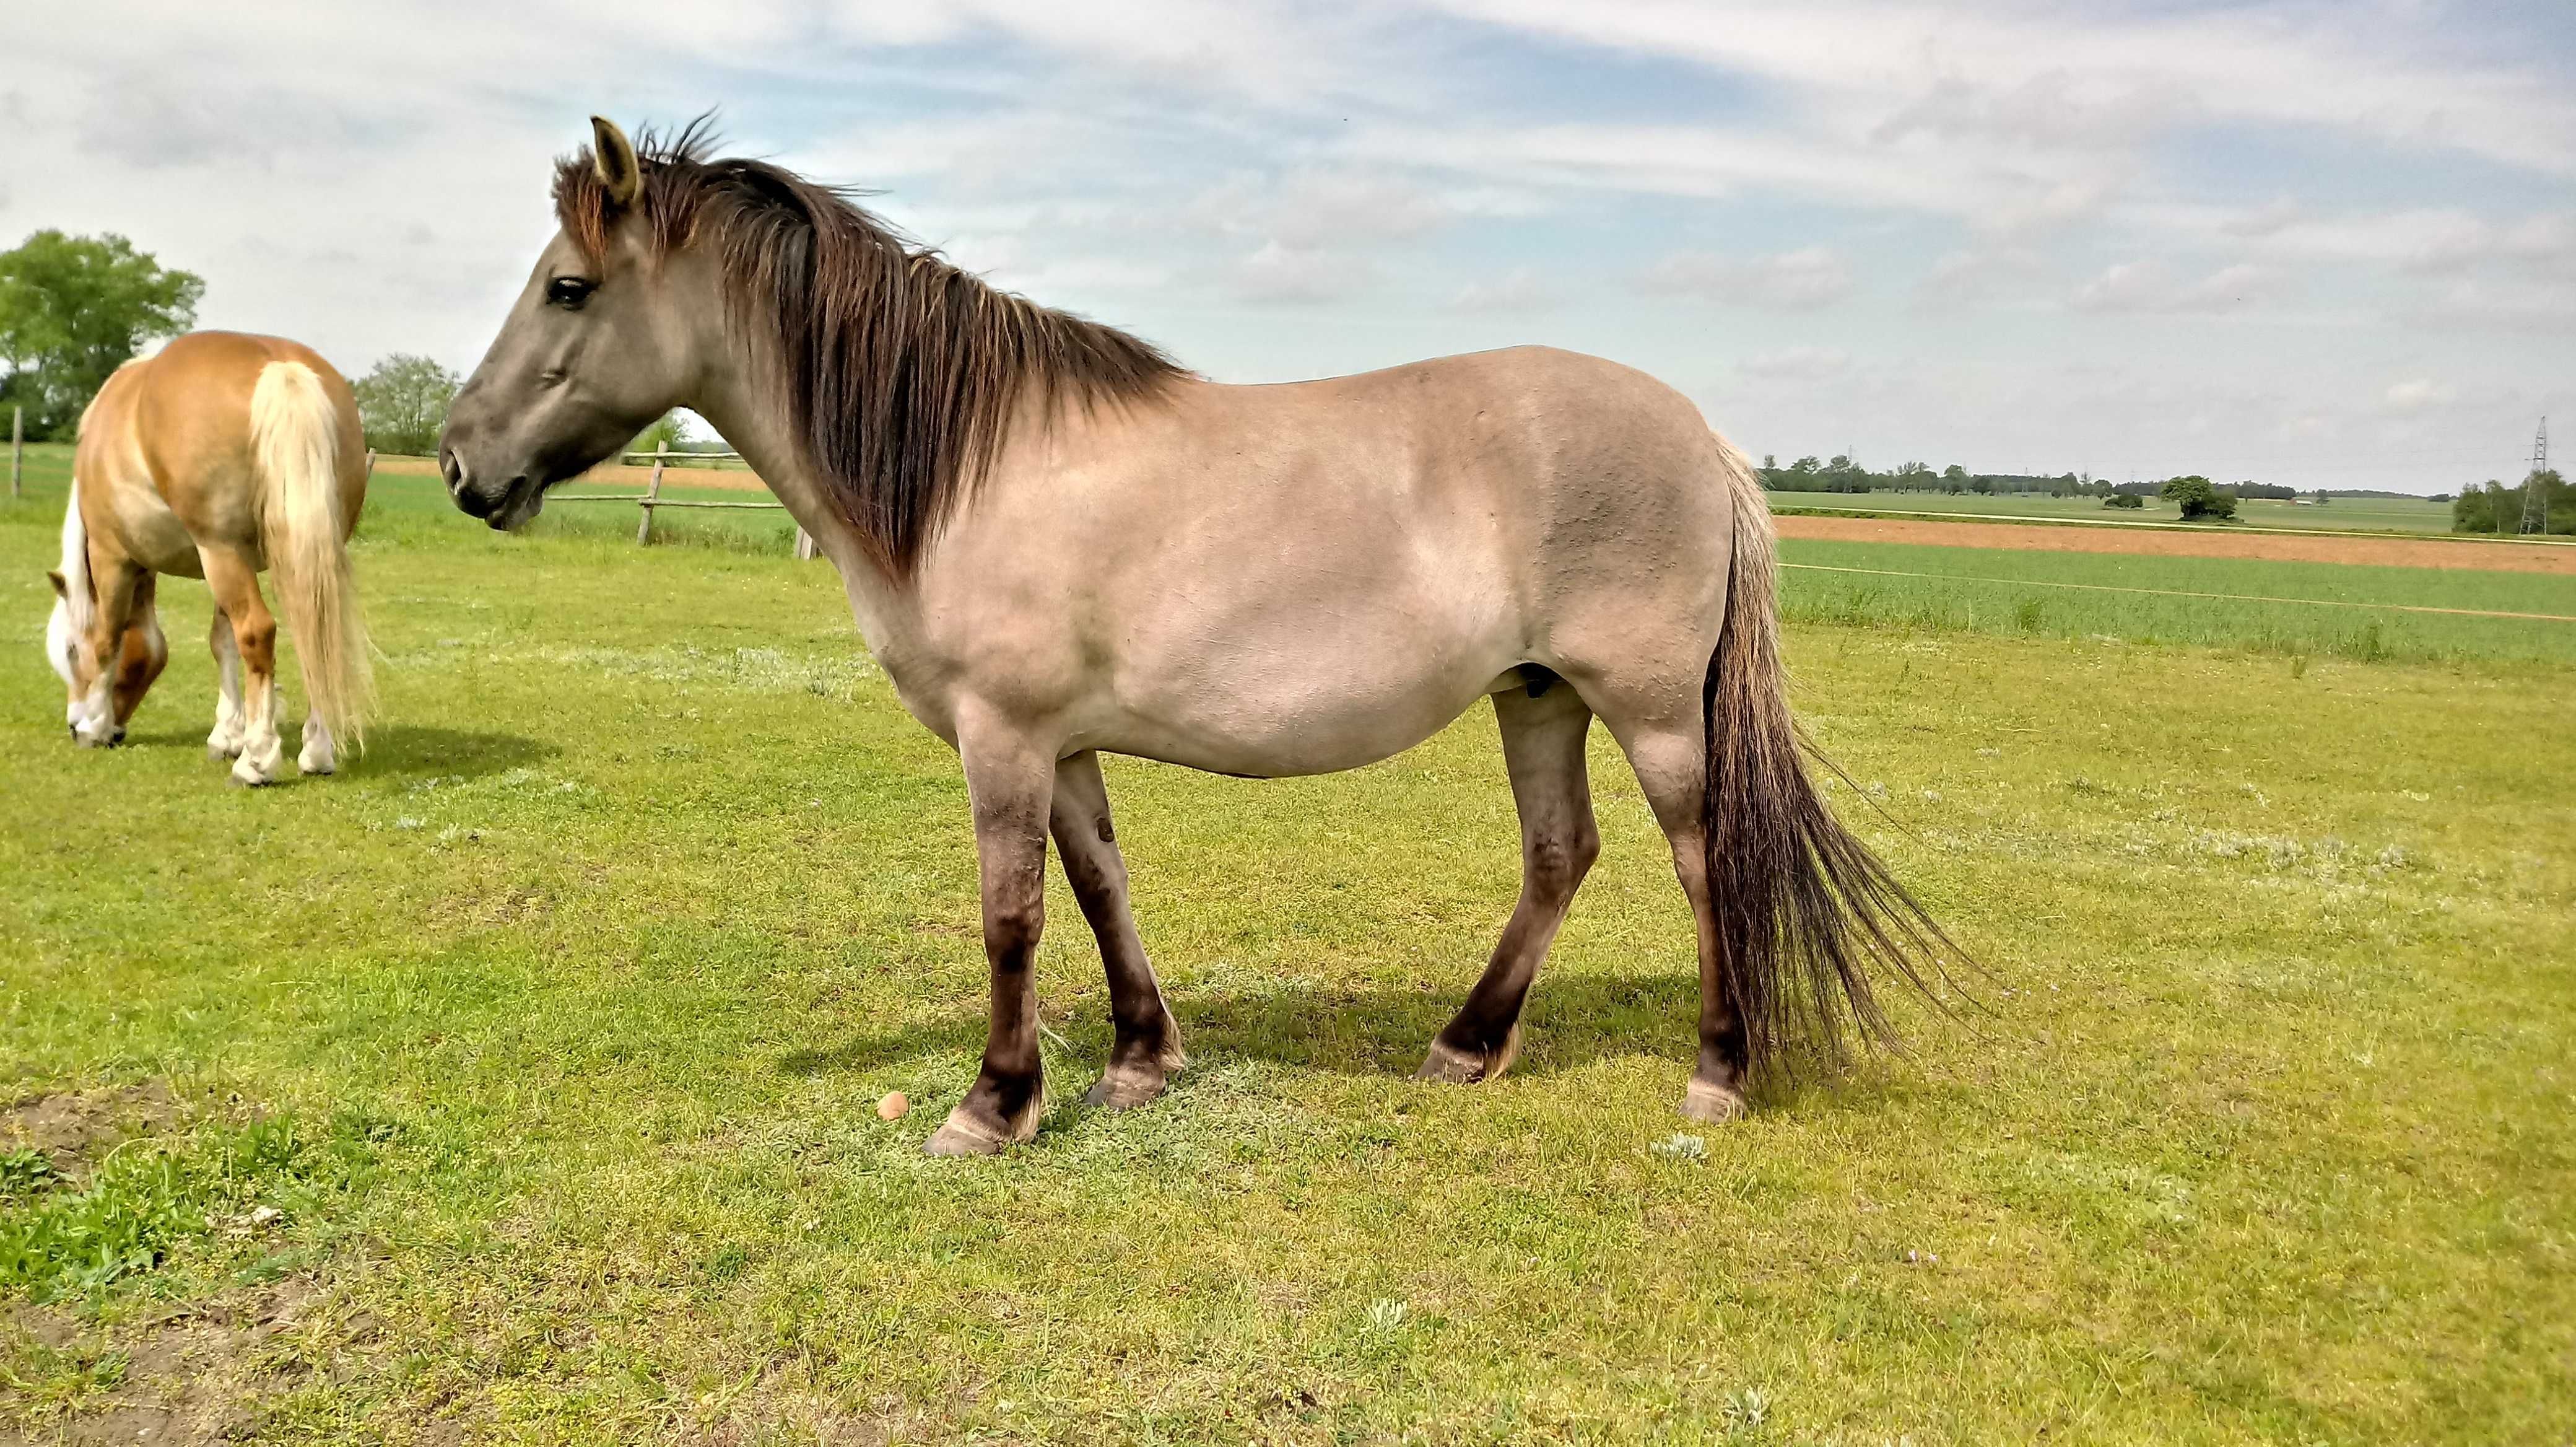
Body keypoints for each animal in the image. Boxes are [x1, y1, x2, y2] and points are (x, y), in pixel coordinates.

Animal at [46, 328, 373, 782]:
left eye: (70, 651)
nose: (74, 726)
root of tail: (281, 368)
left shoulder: (114, 556)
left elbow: (108, 638)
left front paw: (96, 722)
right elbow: (223, 643)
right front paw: (227, 734)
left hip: (220, 552)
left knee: (258, 631)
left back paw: (257, 760)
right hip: (288, 557)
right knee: (317, 633)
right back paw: (316, 753)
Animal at [438, 121, 1947, 1148]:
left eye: (568, 289)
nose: (458, 463)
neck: (971, 463)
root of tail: (1704, 437)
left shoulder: (1001, 736)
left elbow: (1010, 914)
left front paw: (994, 1102)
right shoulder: (1061, 744)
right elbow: (1102, 882)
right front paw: (1138, 1057)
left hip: (1646, 708)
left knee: (1702, 861)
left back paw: (1716, 1072)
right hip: (1535, 695)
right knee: (1558, 855)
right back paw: (1466, 1046)